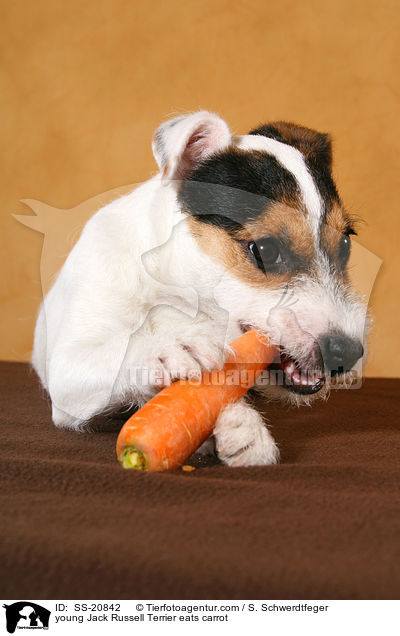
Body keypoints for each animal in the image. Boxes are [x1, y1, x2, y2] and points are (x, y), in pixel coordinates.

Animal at [32, 110, 368, 468]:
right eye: (265, 250)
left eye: (345, 245)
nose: (346, 353)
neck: (173, 292)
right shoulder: (68, 369)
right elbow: (120, 351)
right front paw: (170, 348)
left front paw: (245, 431)